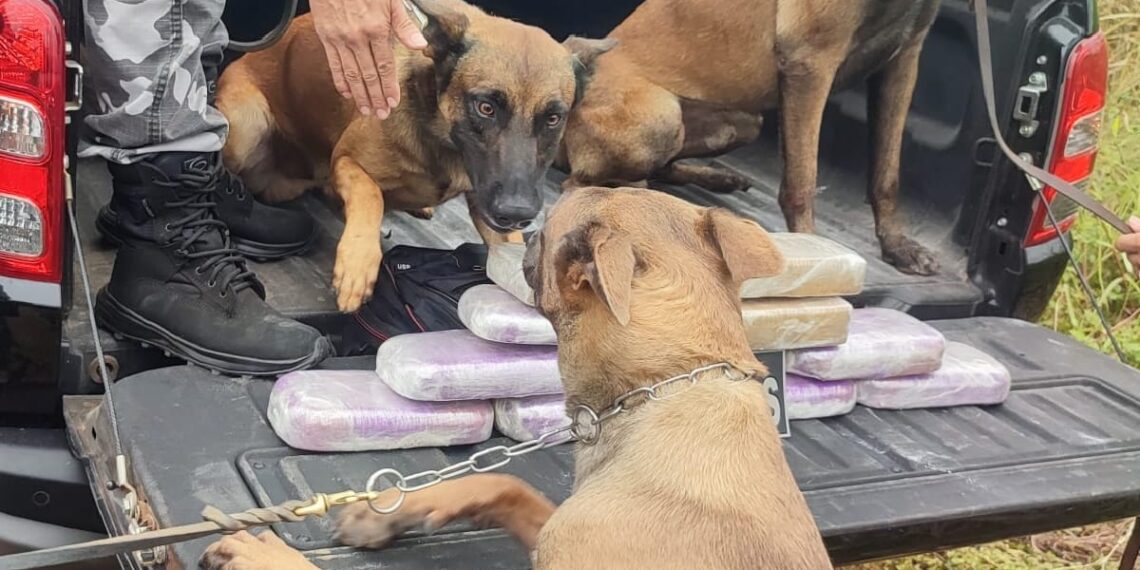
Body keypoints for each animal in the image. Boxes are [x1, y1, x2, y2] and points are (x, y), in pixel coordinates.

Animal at [200, 187, 833, 569]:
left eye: (549, 230)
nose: (523, 232)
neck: (672, 381)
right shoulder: (553, 532)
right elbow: (505, 482)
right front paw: (395, 509)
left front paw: (264, 558)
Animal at [216, 0, 613, 312]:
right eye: (485, 107)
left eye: (553, 118)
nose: (516, 214)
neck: (443, 138)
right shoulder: (345, 162)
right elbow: (370, 195)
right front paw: (358, 263)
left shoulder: (488, 207)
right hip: (247, 125)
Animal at [559, 0, 942, 276]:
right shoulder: (811, 62)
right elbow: (803, 181)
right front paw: (813, 247)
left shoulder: (906, 59)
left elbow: (887, 174)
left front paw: (897, 246)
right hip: (662, 115)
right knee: (582, 184)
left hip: (741, 122)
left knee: (659, 169)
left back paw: (715, 179)